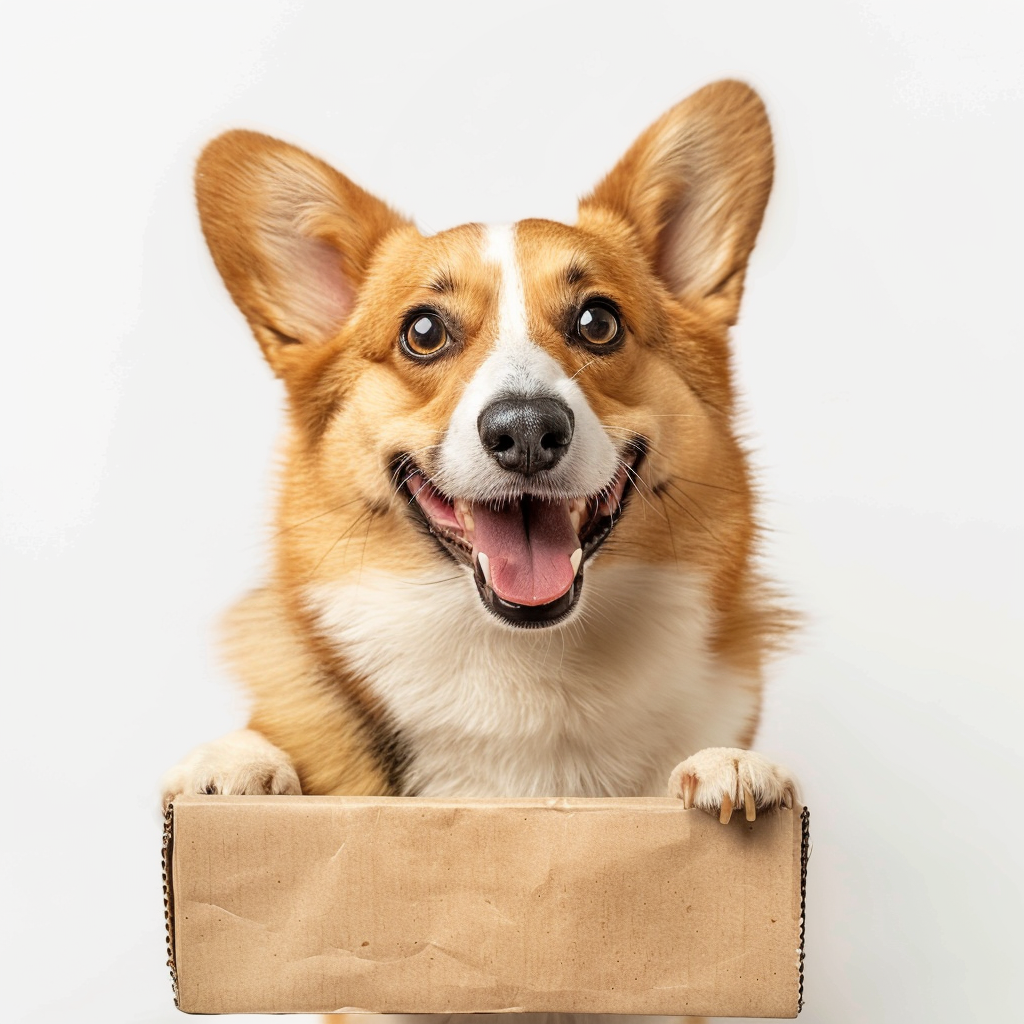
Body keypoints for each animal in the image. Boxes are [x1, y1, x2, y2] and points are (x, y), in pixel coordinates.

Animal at [161, 81, 798, 1024]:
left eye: (598, 321)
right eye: (423, 332)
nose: (527, 429)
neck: (524, 667)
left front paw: (731, 769)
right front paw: (236, 764)